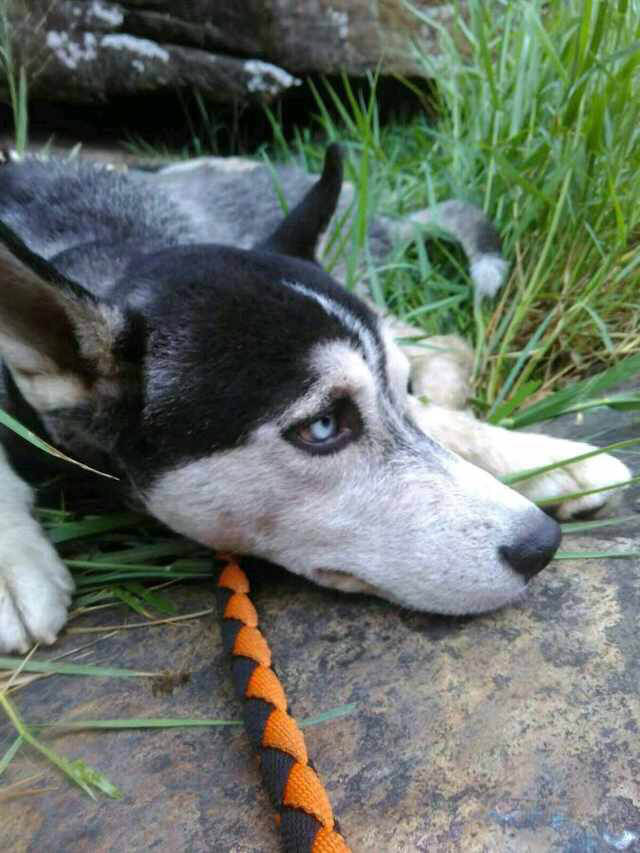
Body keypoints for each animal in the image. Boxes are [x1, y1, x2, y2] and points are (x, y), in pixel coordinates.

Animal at [0, 148, 632, 652]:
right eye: (323, 426)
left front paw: (537, 455)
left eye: (398, 388)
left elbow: (428, 415)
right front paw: (11, 570)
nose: (541, 545)